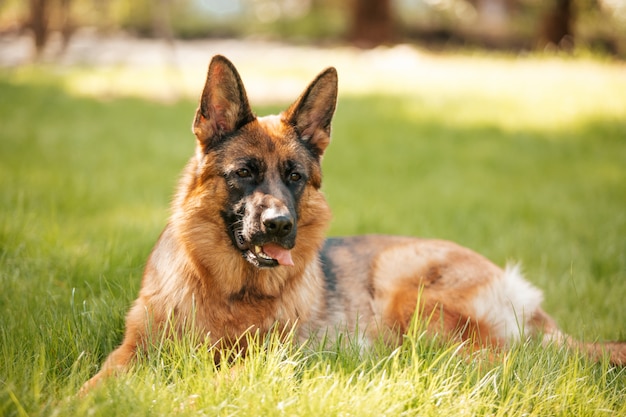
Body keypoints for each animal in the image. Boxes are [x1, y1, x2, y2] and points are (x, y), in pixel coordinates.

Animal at [81, 55, 620, 390]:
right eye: (244, 173)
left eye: (295, 177)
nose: (279, 225)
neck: (228, 291)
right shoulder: (130, 350)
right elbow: (97, 384)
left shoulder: (268, 361)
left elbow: (207, 378)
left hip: (408, 293)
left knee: (503, 361)